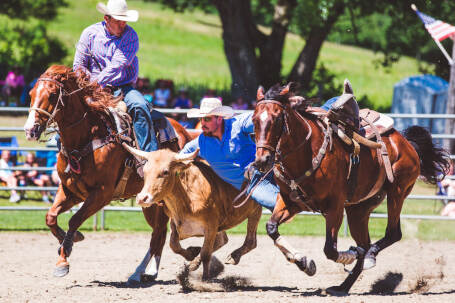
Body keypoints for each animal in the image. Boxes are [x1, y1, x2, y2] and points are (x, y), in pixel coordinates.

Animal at [23, 65, 194, 284]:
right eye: (30, 94)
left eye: (52, 95)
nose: (30, 130)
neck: (87, 137)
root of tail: (182, 132)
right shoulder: (70, 191)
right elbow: (50, 217)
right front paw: (71, 239)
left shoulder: (101, 194)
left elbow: (74, 220)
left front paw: (64, 258)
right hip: (150, 201)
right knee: (159, 233)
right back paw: (144, 273)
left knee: (162, 232)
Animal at [253, 82, 452, 294]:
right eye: (254, 120)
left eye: (277, 119)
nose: (262, 160)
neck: (308, 152)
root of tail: (406, 143)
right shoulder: (290, 202)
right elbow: (271, 227)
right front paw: (304, 262)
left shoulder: (335, 207)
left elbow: (330, 249)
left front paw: (347, 255)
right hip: (359, 209)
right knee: (366, 242)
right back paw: (343, 286)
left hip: (397, 192)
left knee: (390, 234)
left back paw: (367, 257)